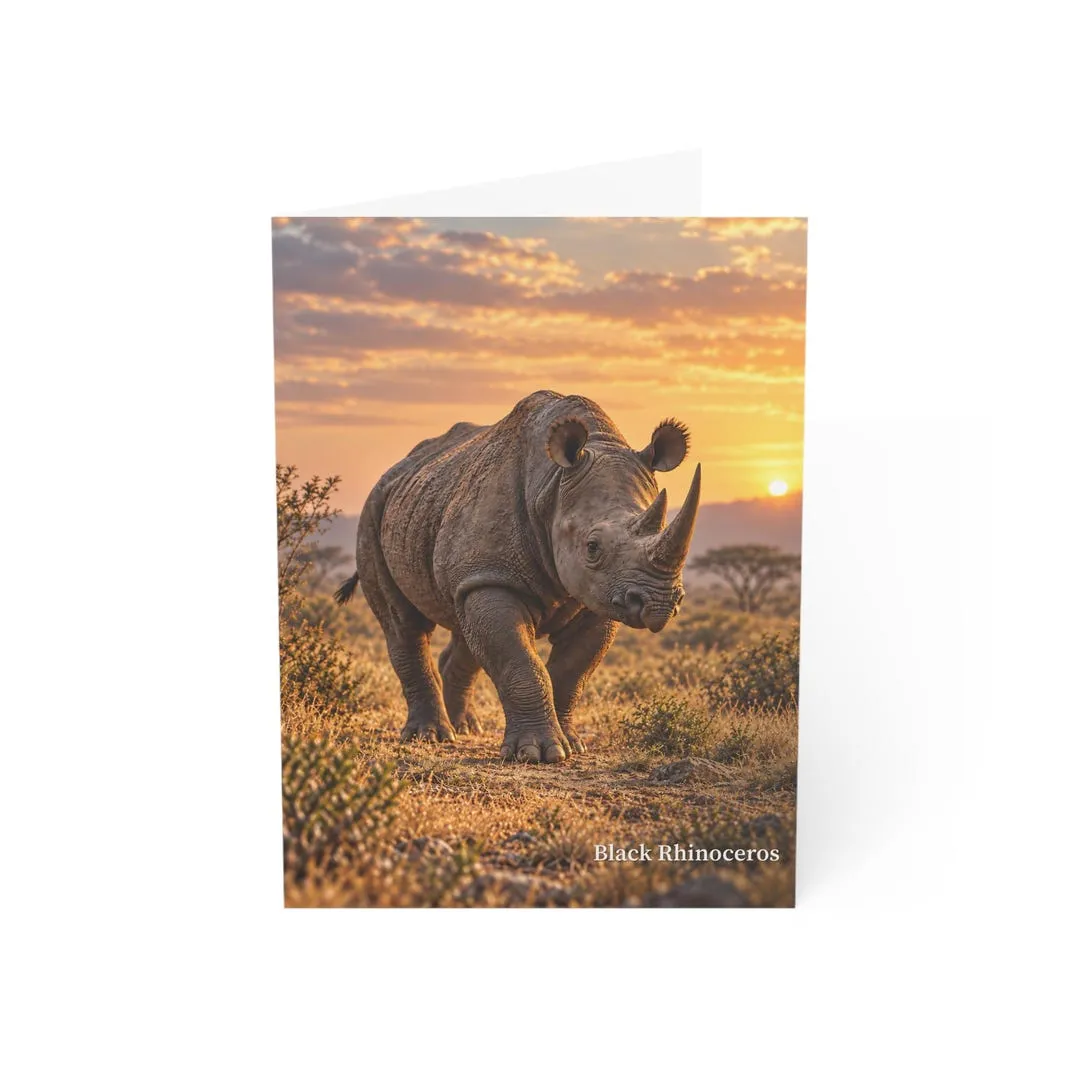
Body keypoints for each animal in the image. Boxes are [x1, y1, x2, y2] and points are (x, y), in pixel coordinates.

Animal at [334, 390, 701, 764]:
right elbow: (520, 662)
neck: (553, 485)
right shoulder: (494, 575)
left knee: (463, 623)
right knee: (404, 624)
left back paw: (466, 728)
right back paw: (431, 736)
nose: (659, 603)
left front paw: (571, 744)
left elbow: (572, 670)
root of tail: (399, 468)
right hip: (375, 511)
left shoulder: (598, 594)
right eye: (593, 547)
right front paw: (537, 753)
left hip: (435, 511)